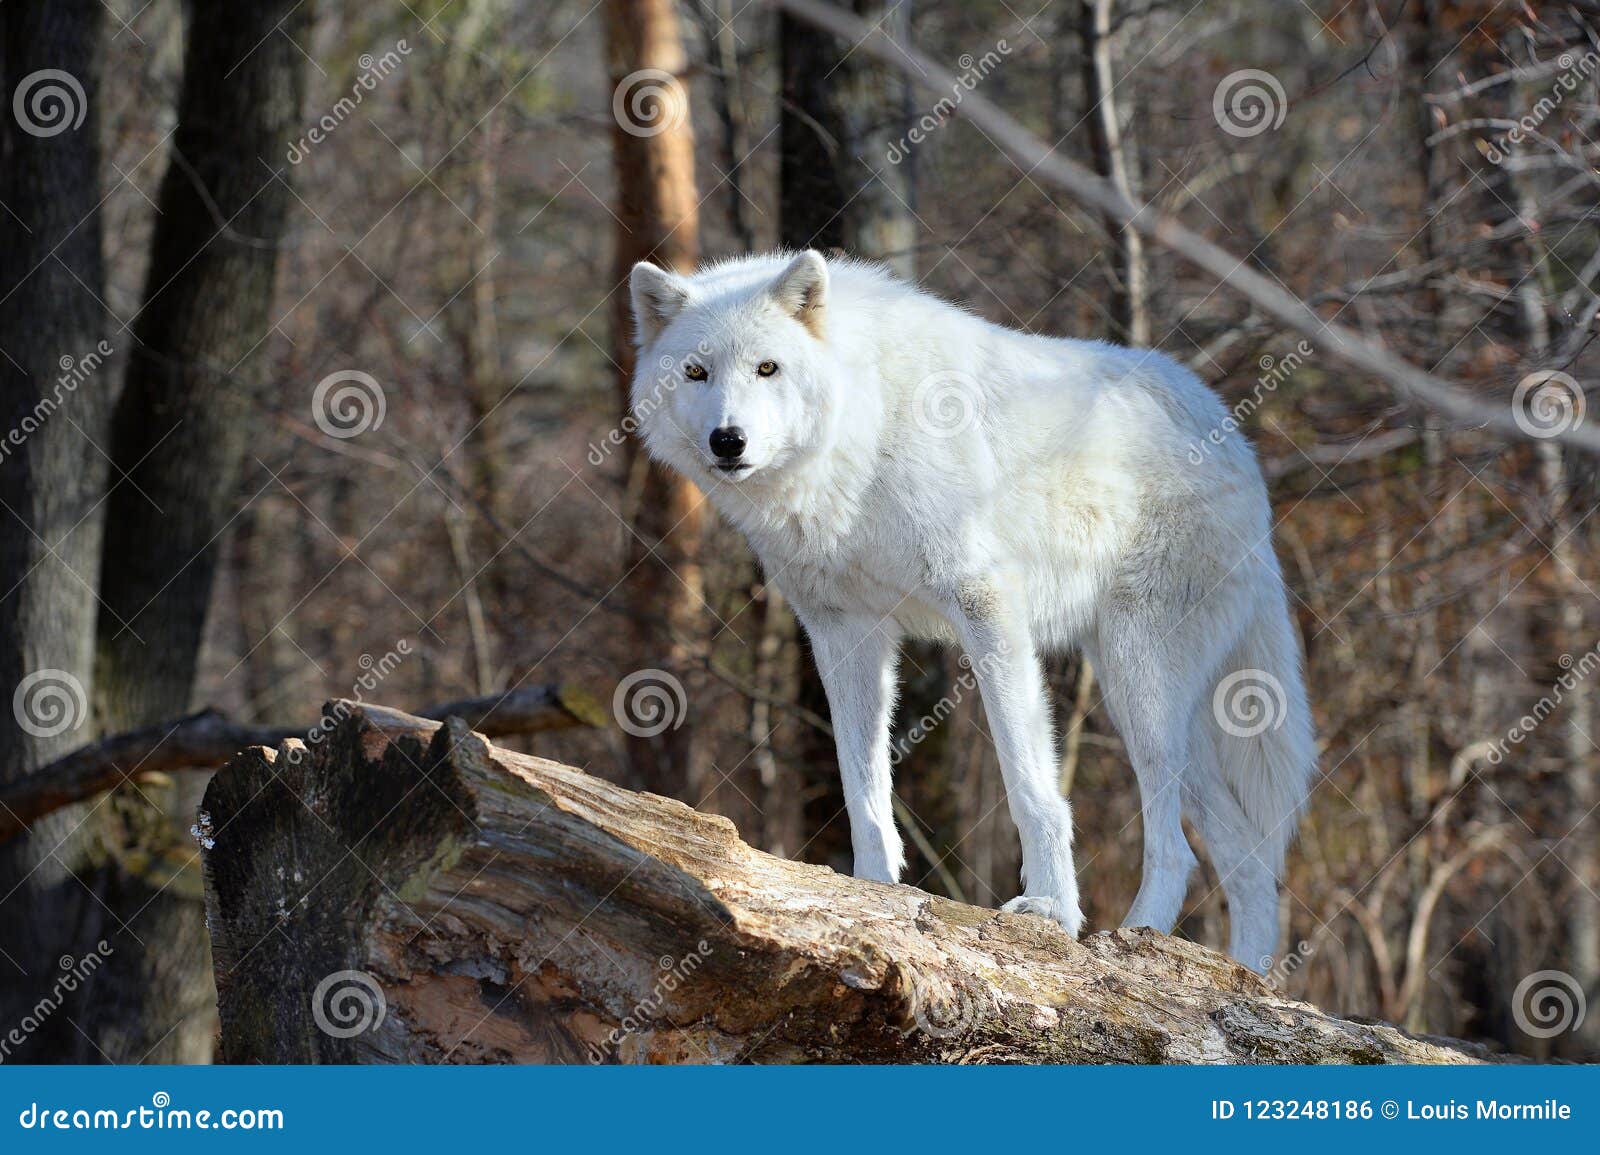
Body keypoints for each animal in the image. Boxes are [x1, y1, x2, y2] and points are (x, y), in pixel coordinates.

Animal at [624, 249, 1312, 959]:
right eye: (696, 372)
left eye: (768, 368)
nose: (726, 440)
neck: (864, 435)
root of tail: (1236, 442)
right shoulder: (844, 633)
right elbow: (862, 785)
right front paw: (872, 890)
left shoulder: (987, 607)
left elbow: (1032, 787)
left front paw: (1051, 913)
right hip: (1152, 708)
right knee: (1247, 861)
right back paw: (1250, 974)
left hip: (1138, 683)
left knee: (1179, 851)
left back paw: (1134, 939)